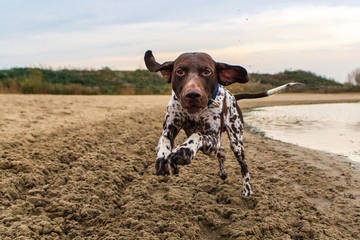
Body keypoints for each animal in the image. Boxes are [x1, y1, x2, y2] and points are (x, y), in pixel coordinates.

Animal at [143, 50, 298, 197]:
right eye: (180, 71)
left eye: (207, 71)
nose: (192, 94)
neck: (195, 113)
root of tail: (234, 97)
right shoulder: (169, 128)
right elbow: (164, 141)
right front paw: (163, 157)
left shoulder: (213, 137)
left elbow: (197, 135)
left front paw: (184, 150)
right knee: (221, 152)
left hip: (236, 143)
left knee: (243, 167)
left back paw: (247, 190)